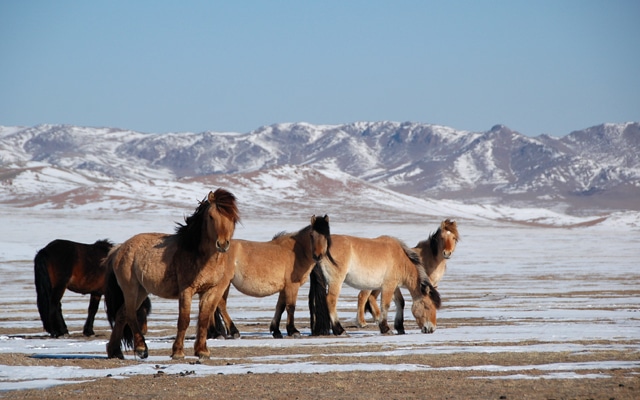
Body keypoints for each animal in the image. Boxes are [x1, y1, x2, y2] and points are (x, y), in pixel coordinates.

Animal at [105, 189, 240, 360]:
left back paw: (115, 351)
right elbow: (184, 320)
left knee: (122, 314)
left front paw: (202, 351)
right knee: (130, 315)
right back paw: (141, 348)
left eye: (233, 217)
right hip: (131, 289)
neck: (199, 254)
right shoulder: (186, 290)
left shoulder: (211, 291)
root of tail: (119, 249)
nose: (222, 244)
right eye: (211, 216)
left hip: (142, 290)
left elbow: (203, 319)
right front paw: (177, 352)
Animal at [208, 214, 336, 340]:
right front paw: (293, 331)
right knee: (218, 304)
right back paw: (229, 332)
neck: (297, 252)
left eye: (326, 236)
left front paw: (276, 331)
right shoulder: (292, 286)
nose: (318, 256)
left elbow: (280, 307)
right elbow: (291, 307)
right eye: (311, 235)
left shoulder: (284, 287)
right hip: (224, 282)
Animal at [308, 233, 440, 336]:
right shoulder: (388, 286)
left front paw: (400, 328)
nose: (431, 329)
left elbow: (400, 302)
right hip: (336, 281)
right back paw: (340, 330)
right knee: (330, 300)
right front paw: (385, 328)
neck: (401, 259)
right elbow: (385, 305)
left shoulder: (394, 286)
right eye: (427, 306)